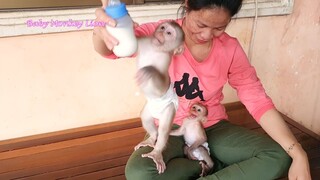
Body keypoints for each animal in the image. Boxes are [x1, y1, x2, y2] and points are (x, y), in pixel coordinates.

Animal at [134, 21, 185, 174]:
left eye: (169, 33)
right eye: (162, 27)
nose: (161, 32)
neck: (155, 48)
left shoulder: (165, 58)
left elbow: (161, 85)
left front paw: (149, 71)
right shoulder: (144, 41)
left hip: (169, 109)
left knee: (163, 129)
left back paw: (156, 152)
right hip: (149, 109)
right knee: (146, 118)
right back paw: (152, 138)